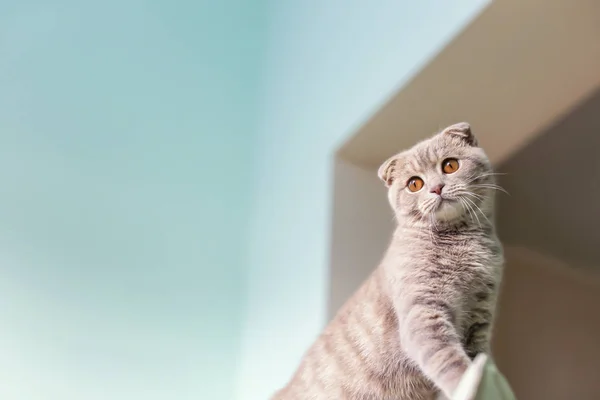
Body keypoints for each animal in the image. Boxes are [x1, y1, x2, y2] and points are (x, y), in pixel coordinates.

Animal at [274, 122, 504, 400]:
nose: (436, 188)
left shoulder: (480, 320)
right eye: (414, 184)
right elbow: (451, 363)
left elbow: (478, 359)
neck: (463, 243)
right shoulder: (422, 313)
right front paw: (468, 384)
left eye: (450, 165)